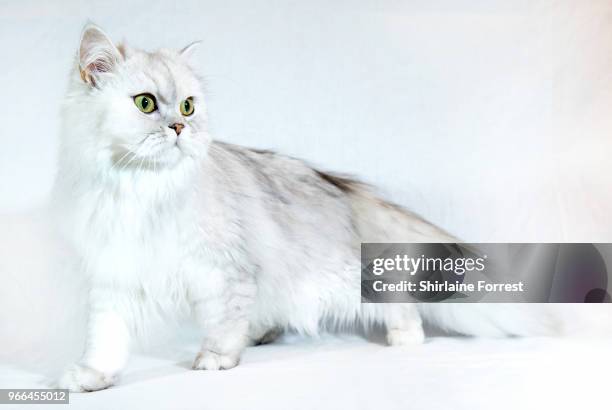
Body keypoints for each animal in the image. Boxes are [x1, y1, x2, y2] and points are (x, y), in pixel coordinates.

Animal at [57, 24, 584, 392]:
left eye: (187, 106)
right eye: (146, 104)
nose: (179, 129)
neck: (143, 190)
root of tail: (342, 188)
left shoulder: (225, 272)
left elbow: (222, 325)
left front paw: (215, 359)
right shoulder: (115, 277)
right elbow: (105, 340)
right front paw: (92, 378)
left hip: (344, 274)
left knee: (397, 300)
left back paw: (404, 337)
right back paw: (261, 335)